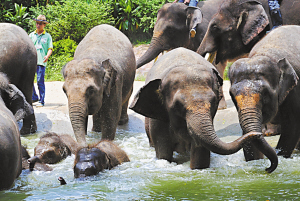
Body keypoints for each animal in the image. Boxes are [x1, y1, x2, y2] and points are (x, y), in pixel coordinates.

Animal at [130, 47, 278, 173]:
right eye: (177, 105)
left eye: (213, 101)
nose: (267, 168)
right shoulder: (159, 116)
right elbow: (163, 151)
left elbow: (200, 150)